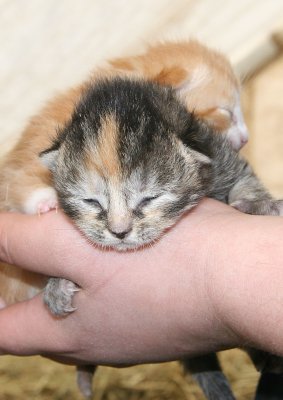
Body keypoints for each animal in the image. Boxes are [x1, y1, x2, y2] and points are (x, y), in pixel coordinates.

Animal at [39, 76, 282, 398]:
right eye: (91, 201)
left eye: (149, 198)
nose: (119, 231)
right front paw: (56, 284)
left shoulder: (221, 156)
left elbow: (244, 179)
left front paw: (258, 203)